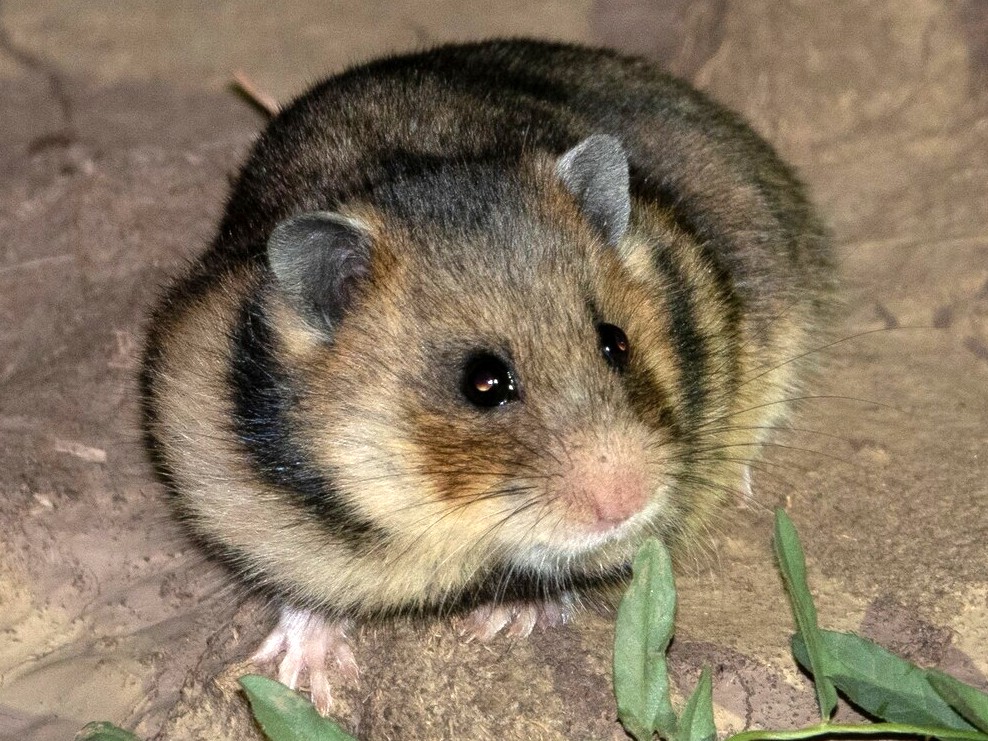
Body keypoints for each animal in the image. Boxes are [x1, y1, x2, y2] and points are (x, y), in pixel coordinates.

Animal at [140, 39, 834, 712]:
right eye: (482, 383)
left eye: (615, 343)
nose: (629, 504)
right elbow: (304, 592)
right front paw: (301, 681)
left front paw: (498, 624)